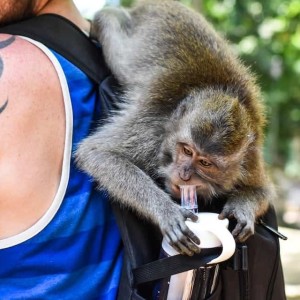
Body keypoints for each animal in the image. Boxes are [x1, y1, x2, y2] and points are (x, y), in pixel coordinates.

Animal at [75, 0, 274, 258]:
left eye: (205, 163)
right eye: (187, 151)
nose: (184, 174)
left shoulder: (249, 158)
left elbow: (263, 189)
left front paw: (242, 210)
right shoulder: (151, 132)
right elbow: (97, 153)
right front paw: (167, 212)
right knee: (111, 29)